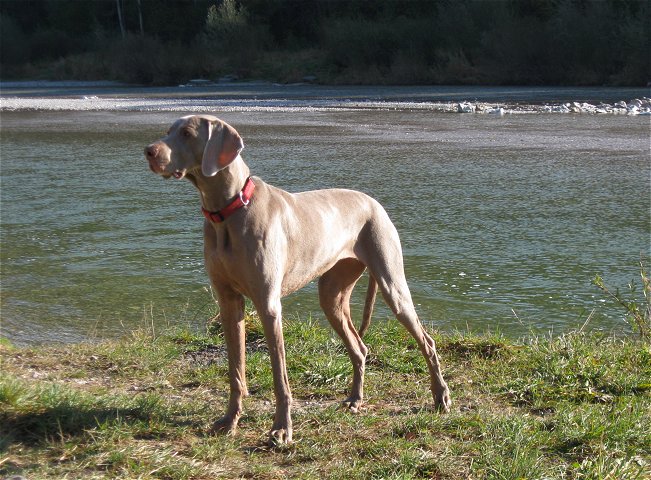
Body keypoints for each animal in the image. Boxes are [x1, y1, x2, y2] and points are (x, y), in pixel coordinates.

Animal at [146, 116, 454, 446]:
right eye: (167, 131)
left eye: (187, 133)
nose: (148, 151)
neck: (229, 211)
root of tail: (374, 202)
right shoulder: (228, 302)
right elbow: (236, 370)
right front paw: (229, 421)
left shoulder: (268, 305)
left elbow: (280, 376)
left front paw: (282, 429)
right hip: (332, 296)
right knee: (359, 348)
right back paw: (355, 400)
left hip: (392, 284)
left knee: (427, 342)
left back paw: (441, 398)